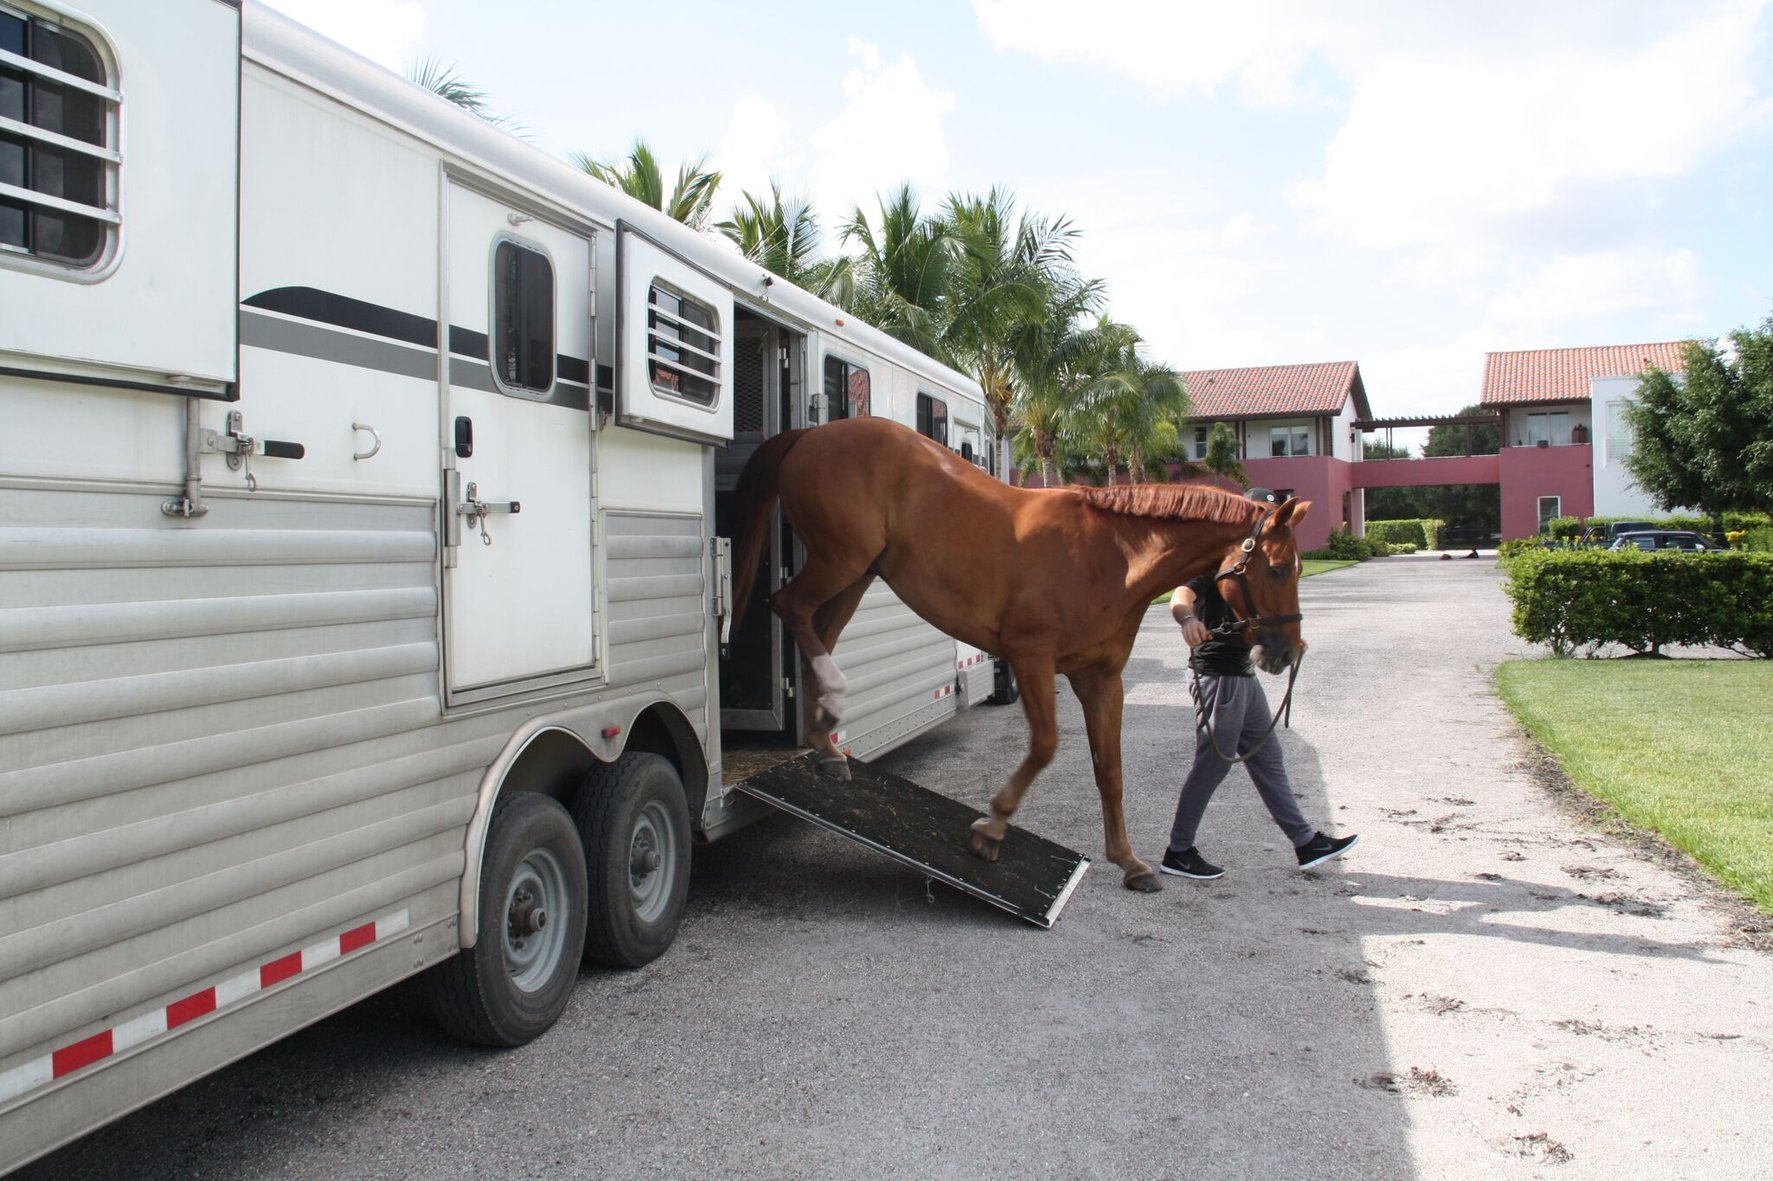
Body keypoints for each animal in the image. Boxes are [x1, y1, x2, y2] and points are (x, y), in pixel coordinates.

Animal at [729, 416, 1309, 893]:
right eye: (1279, 568)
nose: (1286, 652)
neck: (1109, 557)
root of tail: (813, 434)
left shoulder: (1101, 679)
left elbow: (1110, 769)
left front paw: (1129, 862)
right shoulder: (1031, 659)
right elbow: (1046, 746)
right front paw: (990, 828)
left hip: (857, 571)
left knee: (818, 631)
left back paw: (826, 745)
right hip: (841, 561)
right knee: (790, 608)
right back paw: (831, 705)